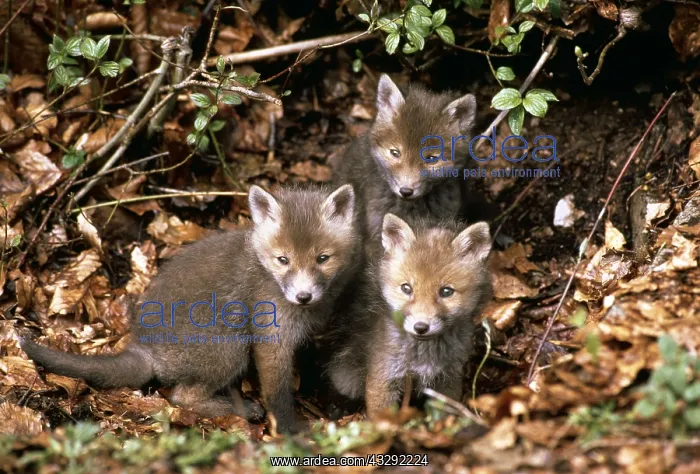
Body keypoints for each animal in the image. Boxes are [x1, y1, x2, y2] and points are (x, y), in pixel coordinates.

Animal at [20, 184, 361, 434]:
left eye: (322, 259)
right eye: (283, 260)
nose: (304, 296)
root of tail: (144, 348)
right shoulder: (271, 338)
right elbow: (277, 394)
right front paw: (290, 431)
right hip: (229, 349)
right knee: (181, 397)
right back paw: (239, 409)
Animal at [325, 213, 492, 418]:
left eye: (446, 292)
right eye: (407, 288)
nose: (421, 327)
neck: (424, 357)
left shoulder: (449, 379)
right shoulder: (383, 378)